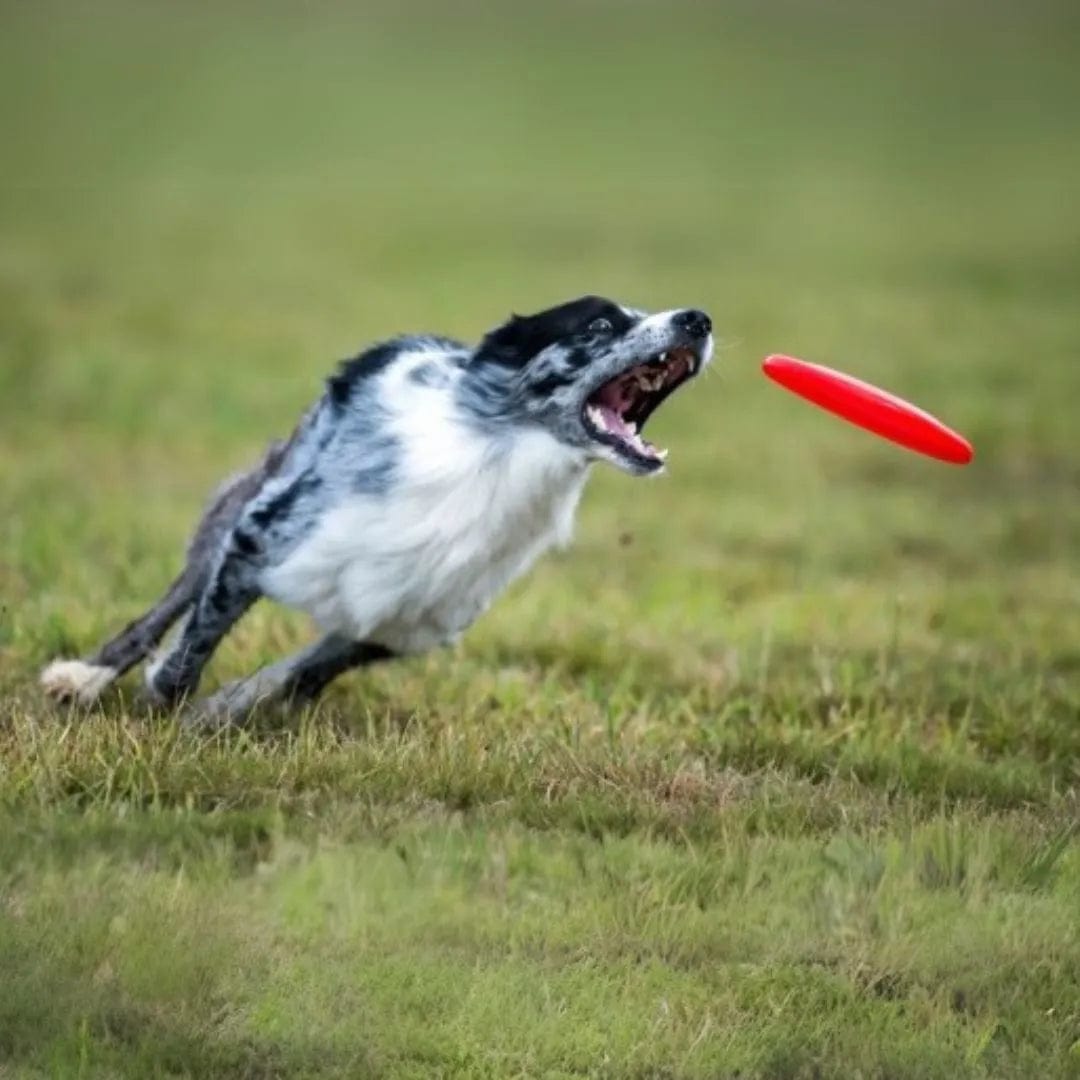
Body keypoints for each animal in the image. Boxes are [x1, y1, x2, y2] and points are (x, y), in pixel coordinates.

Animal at [42, 293, 712, 725]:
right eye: (599, 325)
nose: (698, 319)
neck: (499, 459)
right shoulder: (258, 539)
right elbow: (192, 645)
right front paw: (163, 704)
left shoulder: (407, 620)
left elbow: (294, 671)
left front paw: (220, 712)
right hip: (246, 499)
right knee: (170, 603)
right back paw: (84, 677)